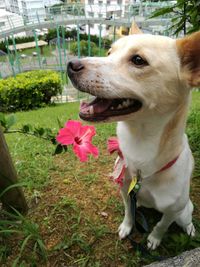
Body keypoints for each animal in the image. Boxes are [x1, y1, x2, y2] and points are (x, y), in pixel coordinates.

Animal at [67, 23, 198, 251]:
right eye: (109, 53)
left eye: (138, 60)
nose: (71, 64)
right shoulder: (126, 191)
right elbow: (129, 212)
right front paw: (127, 227)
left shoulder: (173, 210)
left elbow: (162, 225)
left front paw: (154, 238)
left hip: (184, 210)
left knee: (185, 220)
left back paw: (191, 230)